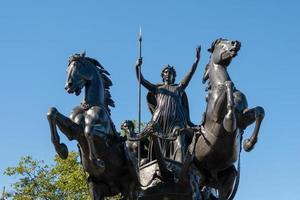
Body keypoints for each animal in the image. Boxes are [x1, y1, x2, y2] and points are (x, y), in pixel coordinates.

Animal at [46, 52, 138, 200]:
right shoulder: (73, 131)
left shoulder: (105, 134)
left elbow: (88, 131)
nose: (68, 86)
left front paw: (97, 163)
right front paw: (62, 150)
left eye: (78, 66)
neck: (89, 105)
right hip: (95, 187)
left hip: (130, 187)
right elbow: (52, 112)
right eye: (67, 70)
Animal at [192, 39, 264, 200]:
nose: (236, 43)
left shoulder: (243, 119)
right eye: (221, 44)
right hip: (197, 175)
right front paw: (229, 120)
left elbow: (259, 112)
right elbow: (228, 85)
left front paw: (248, 144)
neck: (217, 85)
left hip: (228, 178)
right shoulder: (216, 116)